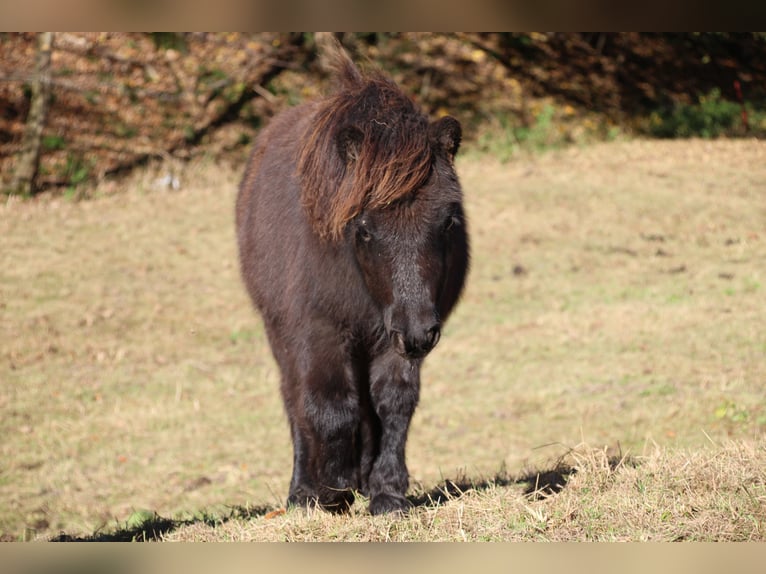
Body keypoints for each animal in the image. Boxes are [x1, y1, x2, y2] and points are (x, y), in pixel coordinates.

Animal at [237, 40, 472, 516]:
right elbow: (327, 405)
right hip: (283, 333)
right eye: (363, 228)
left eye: (447, 221)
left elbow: (394, 402)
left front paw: (386, 492)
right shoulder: (319, 330)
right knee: (296, 398)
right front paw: (332, 488)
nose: (419, 333)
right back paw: (304, 490)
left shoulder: (393, 335)